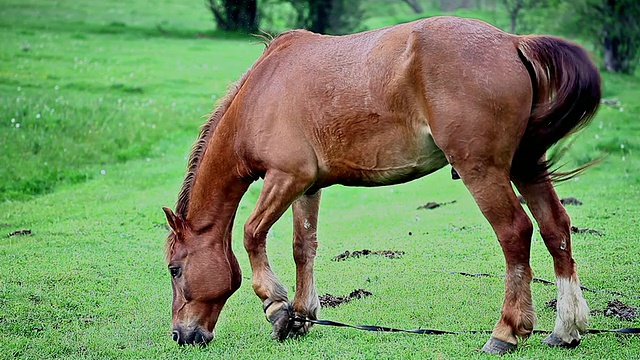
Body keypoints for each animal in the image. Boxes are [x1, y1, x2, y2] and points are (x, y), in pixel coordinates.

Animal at [161, 16, 600, 354]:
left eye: (175, 269)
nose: (182, 335)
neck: (260, 95)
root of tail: (512, 42)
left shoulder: (286, 177)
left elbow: (253, 233)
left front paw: (277, 306)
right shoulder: (307, 186)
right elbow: (304, 247)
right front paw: (301, 317)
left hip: (482, 170)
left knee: (516, 233)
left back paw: (506, 332)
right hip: (527, 166)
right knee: (555, 229)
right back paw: (565, 329)